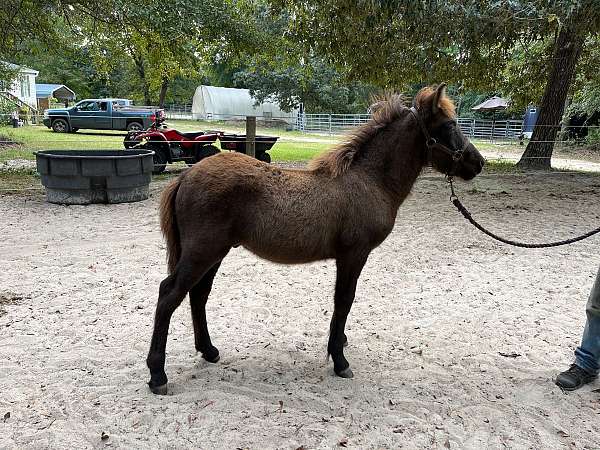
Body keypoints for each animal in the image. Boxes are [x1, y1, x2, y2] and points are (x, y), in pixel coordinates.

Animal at [146, 83, 488, 394]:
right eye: (448, 126)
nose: (478, 162)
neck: (370, 180)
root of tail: (185, 176)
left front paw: (341, 344)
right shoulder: (353, 254)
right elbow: (344, 300)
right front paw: (339, 360)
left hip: (215, 252)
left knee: (198, 294)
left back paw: (209, 351)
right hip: (203, 251)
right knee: (169, 294)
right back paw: (158, 375)